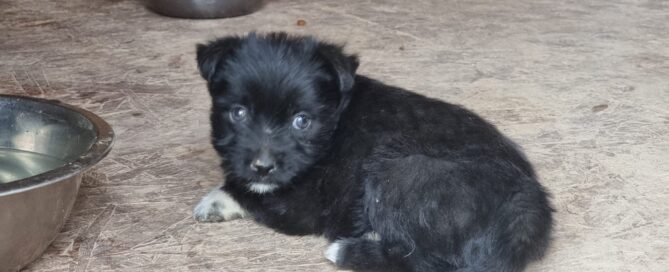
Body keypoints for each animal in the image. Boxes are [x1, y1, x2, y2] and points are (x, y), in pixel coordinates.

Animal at [190, 33, 552, 272]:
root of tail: (530, 213)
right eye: (238, 113)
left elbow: (251, 191)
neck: (334, 123)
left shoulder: (303, 203)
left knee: (426, 262)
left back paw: (349, 250)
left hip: (400, 172)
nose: (262, 166)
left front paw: (216, 200)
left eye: (301, 121)